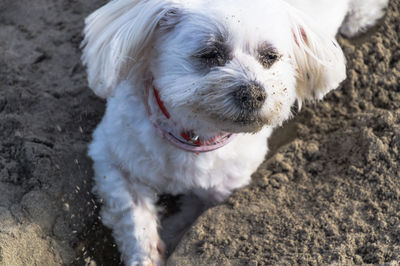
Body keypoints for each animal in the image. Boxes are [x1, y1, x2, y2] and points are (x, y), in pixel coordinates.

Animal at [80, 0, 388, 264]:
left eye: (270, 57)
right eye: (210, 54)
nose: (253, 93)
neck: (194, 139)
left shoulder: (222, 190)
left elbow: (190, 218)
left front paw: (171, 233)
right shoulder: (112, 158)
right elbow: (134, 222)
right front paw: (146, 253)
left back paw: (358, 20)